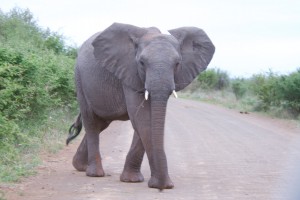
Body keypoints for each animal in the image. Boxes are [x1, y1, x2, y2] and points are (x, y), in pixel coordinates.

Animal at [66, 22, 214, 190]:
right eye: (142, 63)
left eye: (177, 64)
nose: (163, 187)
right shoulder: (130, 70)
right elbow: (142, 119)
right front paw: (155, 184)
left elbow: (144, 122)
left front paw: (133, 180)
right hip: (79, 79)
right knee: (91, 121)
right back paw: (94, 173)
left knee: (101, 124)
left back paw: (80, 166)